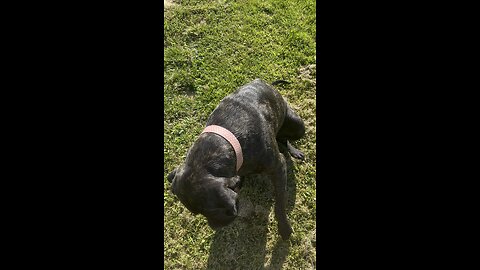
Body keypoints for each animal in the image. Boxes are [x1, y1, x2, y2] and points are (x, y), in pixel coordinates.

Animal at [167, 78, 306, 240]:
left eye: (212, 211)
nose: (215, 227)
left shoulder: (278, 167)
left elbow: (279, 203)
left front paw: (284, 228)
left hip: (298, 125)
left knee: (285, 139)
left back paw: (293, 151)